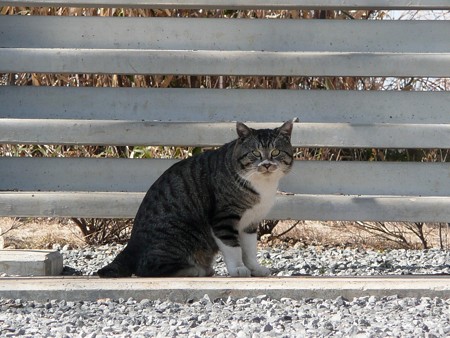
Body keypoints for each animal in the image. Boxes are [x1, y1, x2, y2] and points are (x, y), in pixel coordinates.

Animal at [97, 120, 296, 278]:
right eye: (255, 153)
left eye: (276, 152)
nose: (267, 164)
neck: (263, 185)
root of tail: (131, 245)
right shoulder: (223, 218)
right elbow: (233, 247)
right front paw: (238, 269)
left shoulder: (250, 222)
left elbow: (250, 249)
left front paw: (255, 268)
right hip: (178, 235)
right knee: (147, 268)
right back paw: (195, 270)